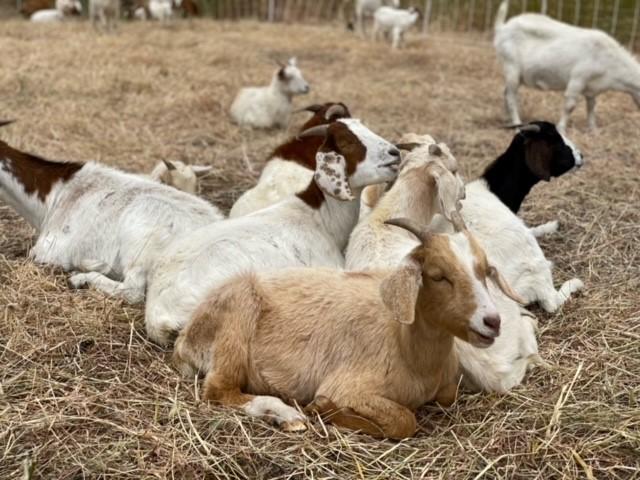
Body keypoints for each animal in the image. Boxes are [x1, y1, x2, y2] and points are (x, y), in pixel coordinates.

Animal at [172, 219, 524, 440]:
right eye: (438, 275)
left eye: (485, 271)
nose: (492, 321)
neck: (407, 347)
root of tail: (186, 338)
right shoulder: (349, 387)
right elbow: (403, 420)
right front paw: (323, 409)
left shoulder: (445, 387)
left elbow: (447, 396)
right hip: (236, 323)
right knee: (219, 390)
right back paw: (286, 415)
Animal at [496, 0, 640, 130]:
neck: (610, 62)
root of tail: (502, 28)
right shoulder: (578, 78)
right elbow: (570, 105)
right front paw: (561, 128)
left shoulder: (591, 88)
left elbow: (591, 106)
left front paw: (593, 129)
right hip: (511, 66)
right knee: (511, 96)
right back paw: (517, 123)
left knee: (506, 92)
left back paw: (507, 119)